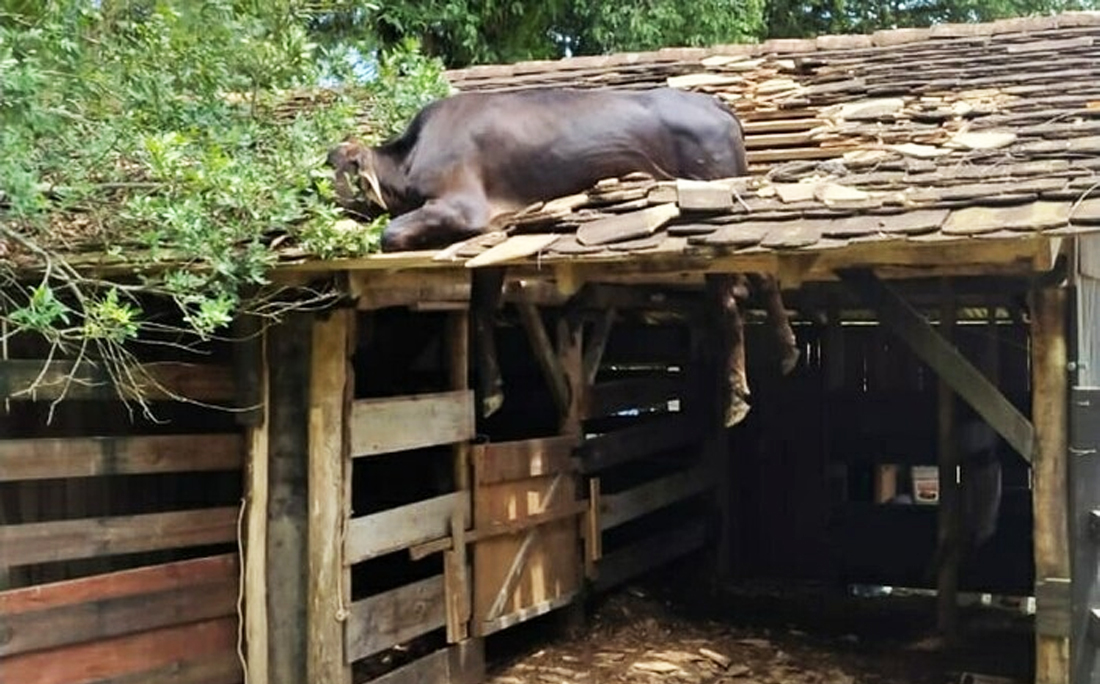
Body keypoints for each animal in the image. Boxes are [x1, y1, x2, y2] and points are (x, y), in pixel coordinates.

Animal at [325, 86, 800, 424]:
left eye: (333, 176)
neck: (409, 160)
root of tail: (714, 105)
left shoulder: (465, 208)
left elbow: (391, 235)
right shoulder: (495, 232)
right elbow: (482, 309)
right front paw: (492, 392)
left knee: (730, 299)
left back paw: (736, 398)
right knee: (764, 277)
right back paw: (788, 351)